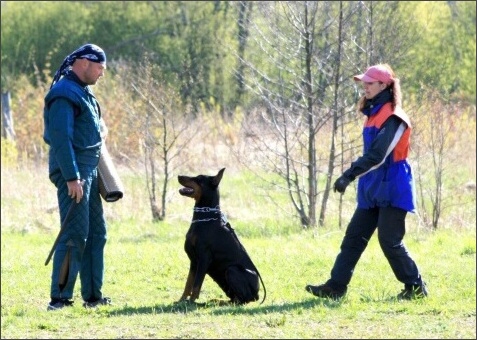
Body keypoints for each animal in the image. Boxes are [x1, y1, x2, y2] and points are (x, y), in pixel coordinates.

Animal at [178, 169, 266, 304]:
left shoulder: (204, 258)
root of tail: (258, 294)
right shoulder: (193, 260)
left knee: (244, 299)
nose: (178, 176)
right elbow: (188, 283)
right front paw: (181, 300)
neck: (204, 218)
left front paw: (192, 302)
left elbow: (197, 284)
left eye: (198, 179)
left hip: (232, 270)